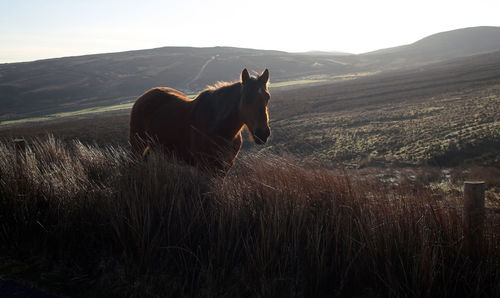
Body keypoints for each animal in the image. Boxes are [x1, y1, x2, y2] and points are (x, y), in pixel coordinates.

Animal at [129, 69, 270, 172]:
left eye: (267, 97)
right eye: (246, 98)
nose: (262, 134)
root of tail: (142, 98)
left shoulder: (225, 167)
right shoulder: (205, 167)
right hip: (137, 146)